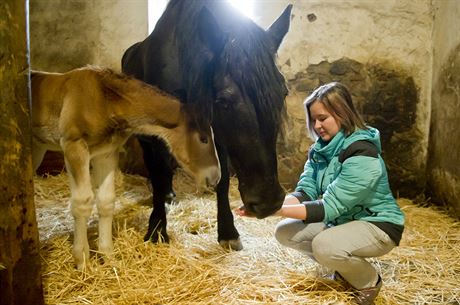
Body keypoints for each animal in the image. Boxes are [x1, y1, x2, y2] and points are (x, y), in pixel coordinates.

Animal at [123, 0, 292, 249]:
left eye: (283, 92)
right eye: (223, 100)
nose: (269, 202)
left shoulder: (217, 134)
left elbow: (222, 179)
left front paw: (228, 231)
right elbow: (159, 172)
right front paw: (156, 229)